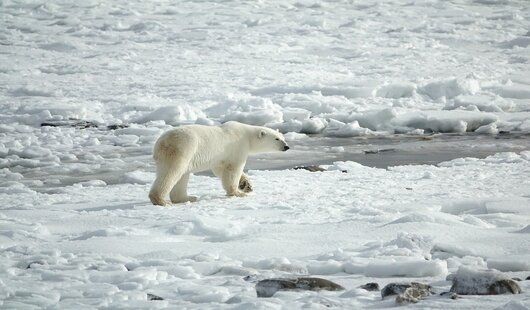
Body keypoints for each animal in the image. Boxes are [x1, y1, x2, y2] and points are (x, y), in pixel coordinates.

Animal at [147, 121, 288, 206]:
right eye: (277, 139)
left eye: (283, 138)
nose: (286, 146)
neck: (247, 136)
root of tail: (160, 143)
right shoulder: (237, 147)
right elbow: (233, 169)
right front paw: (238, 192)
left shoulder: (220, 156)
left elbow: (220, 169)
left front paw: (246, 185)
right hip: (182, 149)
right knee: (171, 173)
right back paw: (161, 200)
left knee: (182, 175)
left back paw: (188, 198)